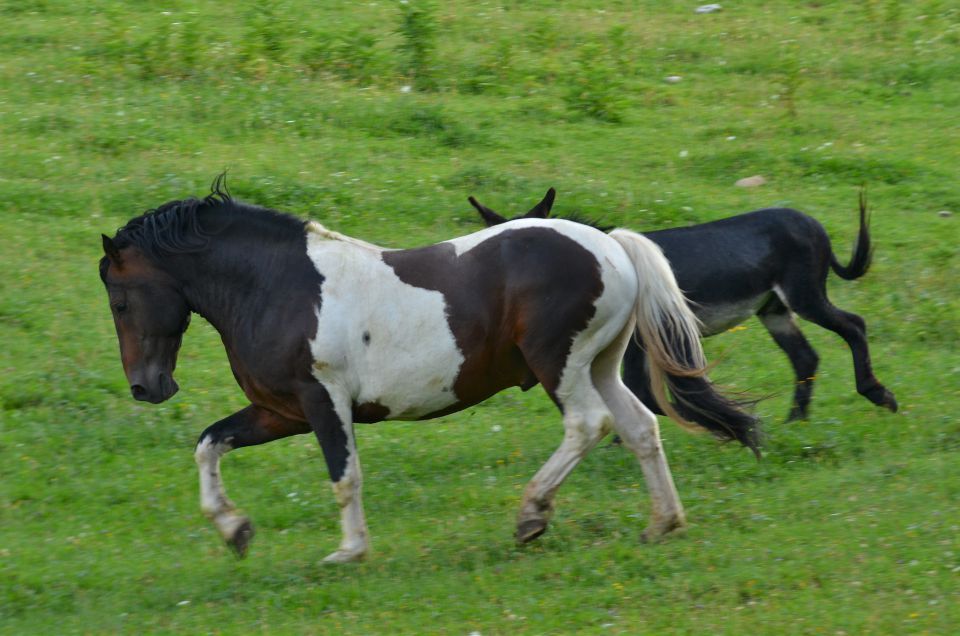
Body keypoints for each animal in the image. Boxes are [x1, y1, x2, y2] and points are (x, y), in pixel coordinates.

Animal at [97, 179, 756, 560]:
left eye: (120, 301)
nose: (147, 387)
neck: (279, 288)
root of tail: (612, 245)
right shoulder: (279, 410)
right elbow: (209, 444)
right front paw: (235, 530)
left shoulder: (322, 401)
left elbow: (344, 475)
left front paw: (349, 552)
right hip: (600, 364)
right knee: (641, 426)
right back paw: (662, 523)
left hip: (561, 365)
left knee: (588, 425)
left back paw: (531, 516)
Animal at [472, 189, 900, 424]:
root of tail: (811, 221)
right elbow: (636, 392)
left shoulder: (638, 341)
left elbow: (641, 393)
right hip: (774, 309)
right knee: (805, 357)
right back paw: (797, 421)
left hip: (803, 295)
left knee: (853, 325)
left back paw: (878, 395)